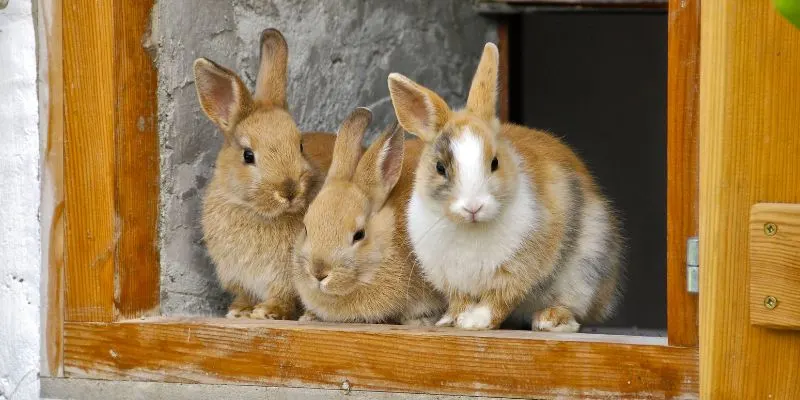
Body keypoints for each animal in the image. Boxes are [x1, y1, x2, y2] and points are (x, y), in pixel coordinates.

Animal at [193, 29, 335, 320]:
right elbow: (245, 294)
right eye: (248, 155)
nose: (289, 190)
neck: (257, 213)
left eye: (300, 145)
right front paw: (239, 311)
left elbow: (283, 296)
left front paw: (267, 312)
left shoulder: (286, 278)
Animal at [386, 43, 625, 332]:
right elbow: (461, 300)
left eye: (495, 162)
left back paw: (550, 320)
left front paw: (475, 322)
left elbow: (499, 300)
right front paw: (450, 321)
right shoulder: (452, 279)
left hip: (586, 269)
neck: (471, 228)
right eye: (440, 168)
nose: (473, 207)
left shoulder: (516, 271)